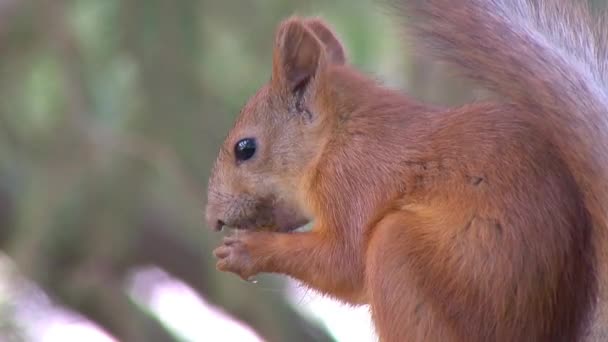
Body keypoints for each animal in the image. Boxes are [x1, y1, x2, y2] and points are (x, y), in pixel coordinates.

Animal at [204, 0, 608, 340]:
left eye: (245, 149)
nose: (212, 219)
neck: (338, 135)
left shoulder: (353, 179)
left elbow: (344, 263)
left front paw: (248, 250)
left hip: (401, 253)